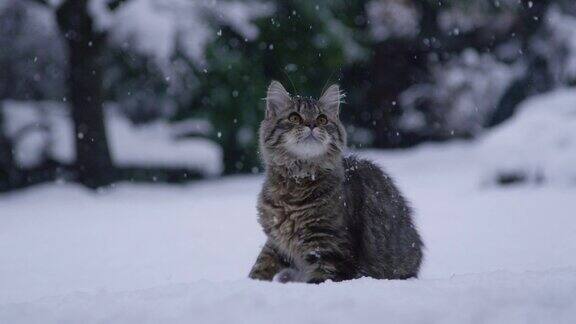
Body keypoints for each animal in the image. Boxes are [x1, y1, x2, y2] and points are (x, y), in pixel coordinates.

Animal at [249, 81, 424, 284]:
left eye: (322, 119)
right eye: (294, 117)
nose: (311, 124)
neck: (297, 181)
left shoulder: (330, 250)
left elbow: (317, 280)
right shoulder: (276, 242)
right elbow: (260, 266)